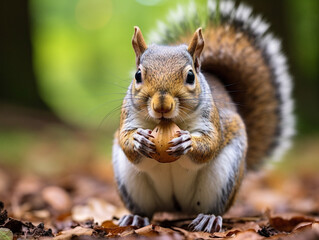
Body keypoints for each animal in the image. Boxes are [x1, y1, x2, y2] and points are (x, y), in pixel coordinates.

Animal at [112, 0, 296, 233]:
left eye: (191, 76)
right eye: (138, 75)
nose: (162, 105)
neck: (167, 122)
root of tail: (175, 206)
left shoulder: (212, 119)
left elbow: (210, 144)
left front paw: (187, 142)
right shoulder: (128, 117)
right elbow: (126, 142)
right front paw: (138, 140)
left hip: (223, 177)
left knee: (213, 207)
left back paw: (208, 218)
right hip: (130, 183)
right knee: (145, 208)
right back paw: (136, 218)